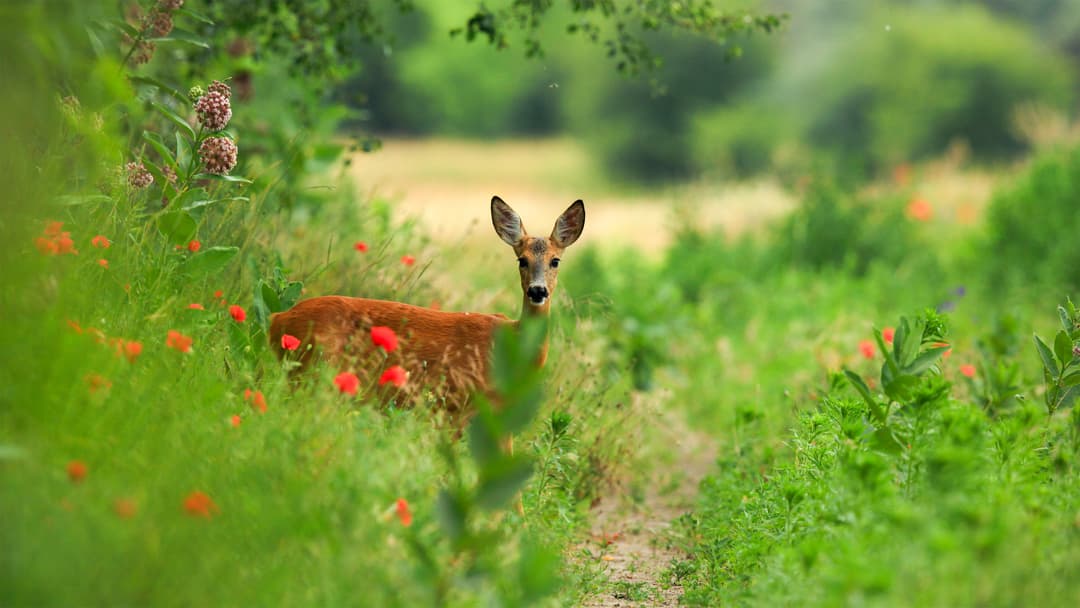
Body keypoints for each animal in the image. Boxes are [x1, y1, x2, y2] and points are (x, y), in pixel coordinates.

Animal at [274, 197, 587, 421]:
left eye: (555, 260)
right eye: (521, 260)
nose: (538, 291)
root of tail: (278, 319)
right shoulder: (463, 405)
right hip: (313, 372)